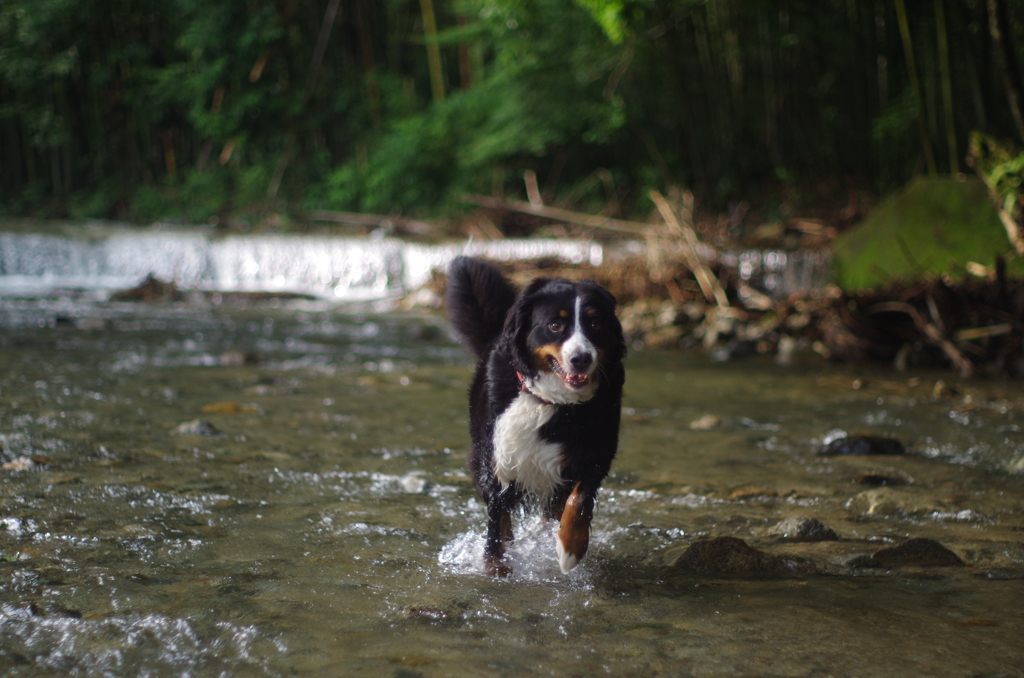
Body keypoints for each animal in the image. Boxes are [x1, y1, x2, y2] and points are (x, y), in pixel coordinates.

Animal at [446, 258, 622, 577]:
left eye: (595, 323)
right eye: (555, 325)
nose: (582, 358)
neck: (552, 402)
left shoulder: (597, 453)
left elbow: (579, 500)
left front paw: (571, 548)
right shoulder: (498, 461)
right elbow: (497, 521)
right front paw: (496, 568)